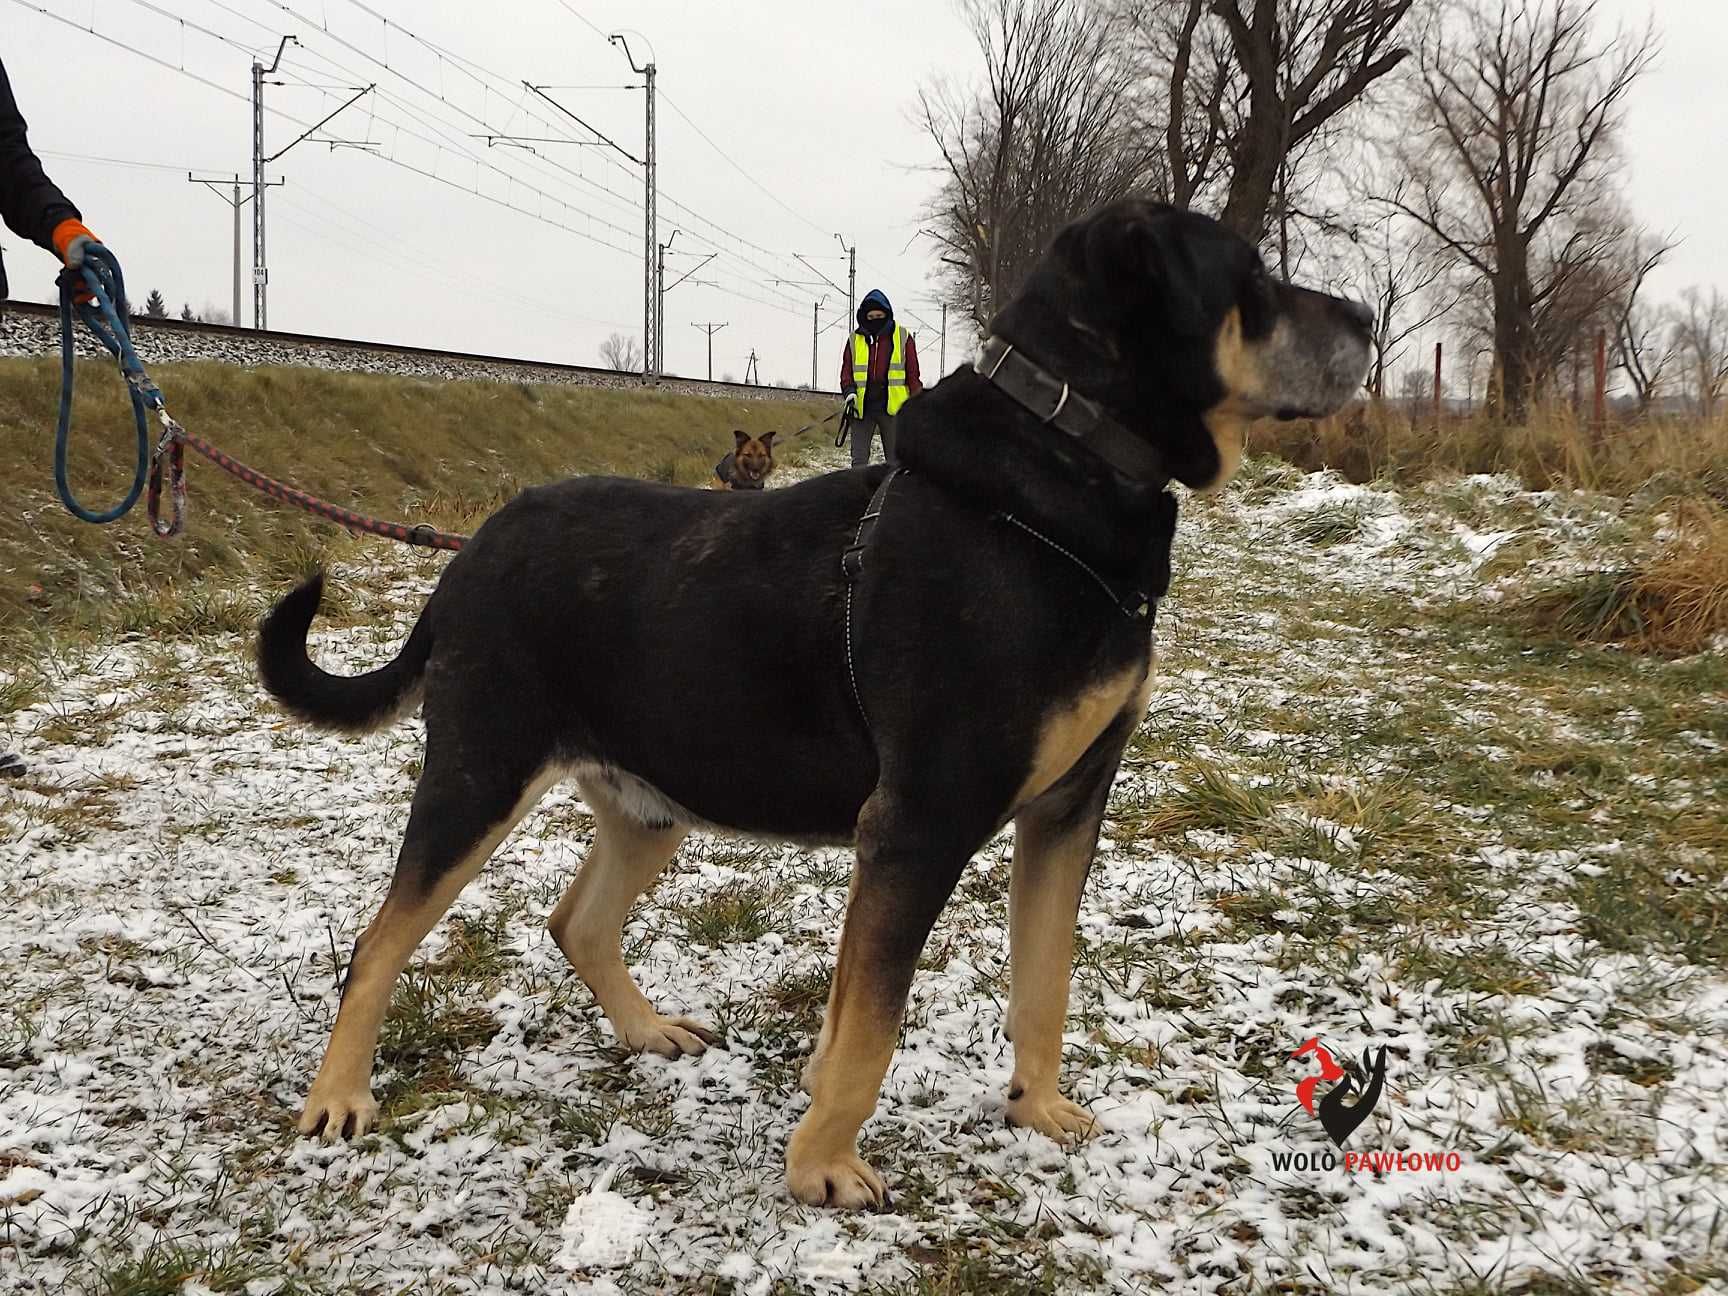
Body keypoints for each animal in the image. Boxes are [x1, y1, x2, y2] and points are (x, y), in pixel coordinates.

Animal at [255, 197, 1368, 1216]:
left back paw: (648, 1030)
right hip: (481, 771)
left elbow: (1043, 979)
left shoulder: (1068, 811)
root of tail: (470, 555)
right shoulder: (919, 826)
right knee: (379, 943)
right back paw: (338, 1099)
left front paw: (1036, 1110)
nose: (1365, 315)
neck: (1063, 475)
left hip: (654, 799)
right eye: (1249, 278)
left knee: (577, 921)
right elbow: (873, 1022)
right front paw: (825, 1165)